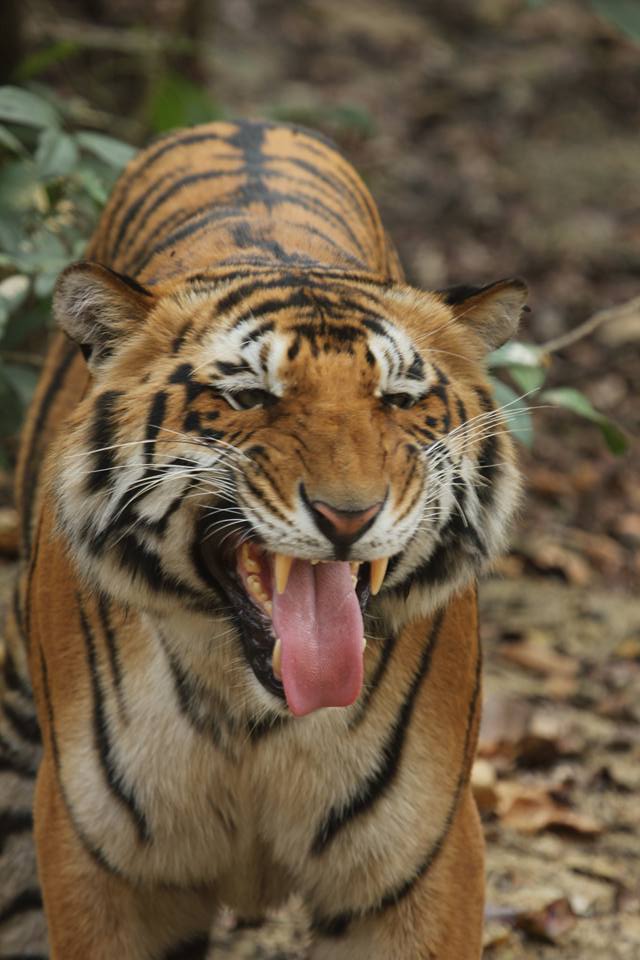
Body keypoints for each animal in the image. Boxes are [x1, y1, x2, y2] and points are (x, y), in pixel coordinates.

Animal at [0, 119, 526, 959]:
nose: (349, 516)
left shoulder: (422, 861)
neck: (253, 718)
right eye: (249, 397)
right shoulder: (99, 861)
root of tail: (242, 123)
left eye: (398, 399)